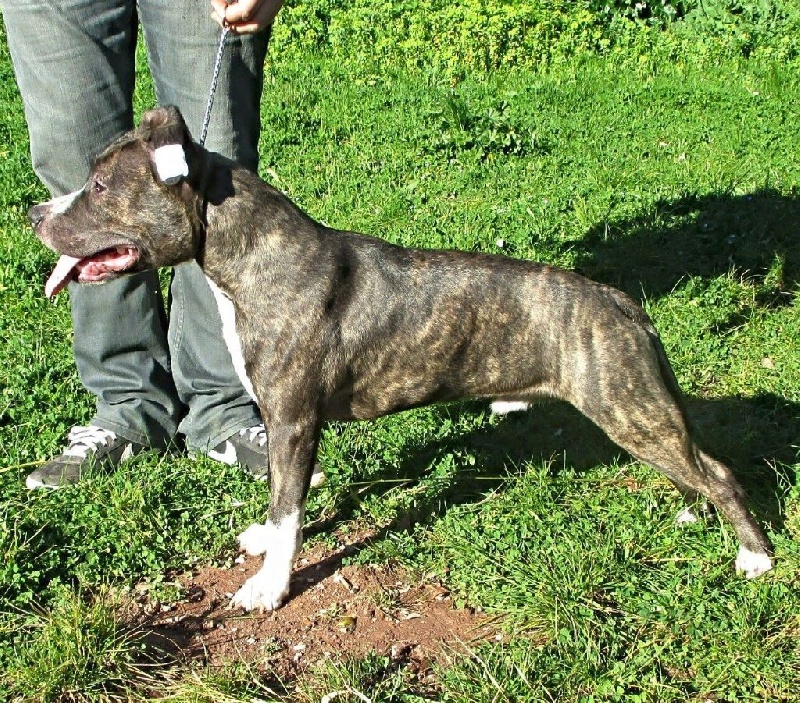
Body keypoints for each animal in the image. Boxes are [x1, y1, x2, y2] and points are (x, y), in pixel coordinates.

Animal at [28, 106, 773, 611]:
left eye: (100, 188)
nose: (37, 212)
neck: (248, 256)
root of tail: (622, 303)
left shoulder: (294, 420)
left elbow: (291, 508)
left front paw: (270, 585)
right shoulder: (284, 425)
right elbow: (281, 497)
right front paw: (264, 541)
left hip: (626, 405)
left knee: (719, 470)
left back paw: (755, 557)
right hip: (634, 409)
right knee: (694, 465)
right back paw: (694, 514)